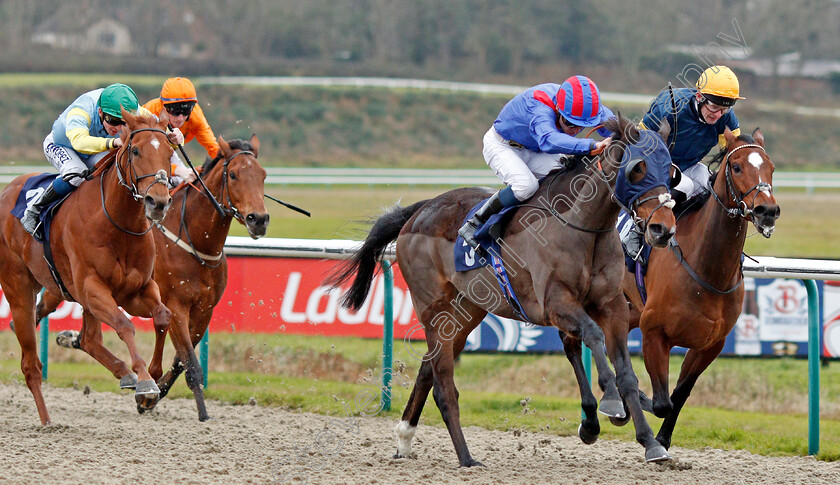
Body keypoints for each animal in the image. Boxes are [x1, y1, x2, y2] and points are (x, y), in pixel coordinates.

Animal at [0, 108, 174, 424]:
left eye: (169, 152)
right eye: (135, 150)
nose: (158, 202)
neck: (117, 224)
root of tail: (7, 190)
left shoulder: (137, 290)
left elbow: (163, 316)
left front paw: (152, 379)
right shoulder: (92, 287)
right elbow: (124, 325)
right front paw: (144, 381)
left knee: (89, 339)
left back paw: (123, 373)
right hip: (18, 287)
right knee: (31, 363)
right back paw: (47, 421)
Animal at [32, 133, 268, 420]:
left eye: (263, 175)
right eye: (233, 175)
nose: (259, 219)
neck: (195, 240)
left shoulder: (204, 310)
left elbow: (180, 361)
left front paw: (152, 395)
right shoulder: (176, 305)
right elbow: (190, 362)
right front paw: (200, 411)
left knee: (87, 338)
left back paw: (71, 339)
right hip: (62, 287)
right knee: (39, 312)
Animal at [328, 114, 676, 466]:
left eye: (671, 171)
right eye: (637, 169)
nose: (663, 229)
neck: (582, 226)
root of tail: (421, 210)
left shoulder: (611, 305)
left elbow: (626, 372)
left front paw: (650, 442)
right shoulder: (555, 303)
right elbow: (593, 335)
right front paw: (612, 404)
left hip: (466, 312)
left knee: (428, 369)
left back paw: (404, 439)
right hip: (433, 308)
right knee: (444, 387)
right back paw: (466, 458)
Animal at [624, 126, 780, 448]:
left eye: (771, 168)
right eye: (737, 167)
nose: (767, 211)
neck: (707, 269)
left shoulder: (710, 344)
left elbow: (679, 394)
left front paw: (663, 438)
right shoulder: (654, 332)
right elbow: (661, 402)